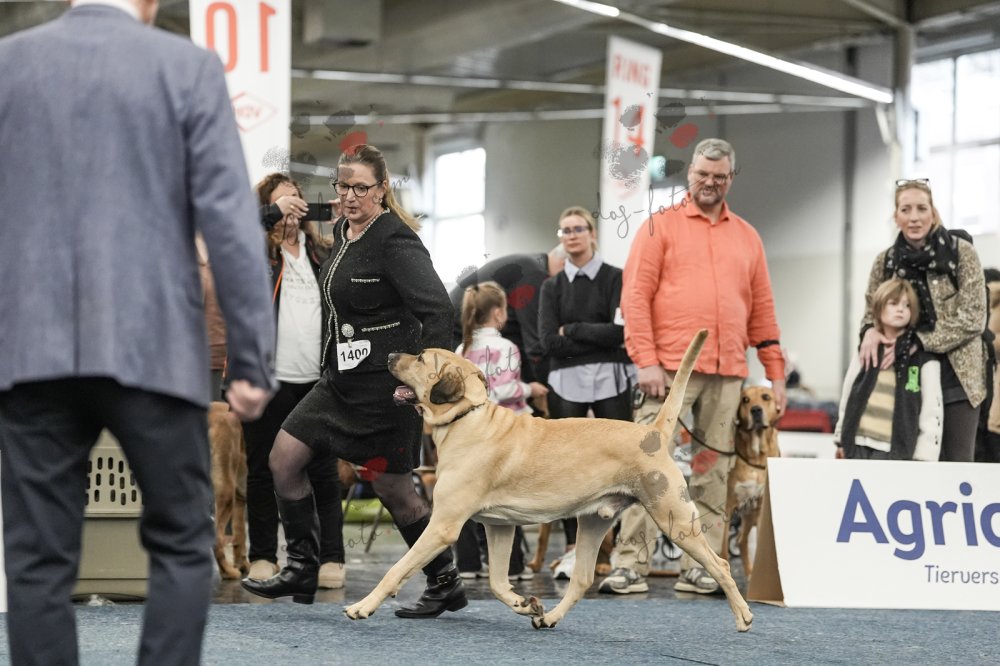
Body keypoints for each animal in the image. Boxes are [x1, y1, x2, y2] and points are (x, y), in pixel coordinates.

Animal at [344, 330, 753, 632]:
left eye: (421, 358)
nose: (389, 353)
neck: (467, 417)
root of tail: (651, 434)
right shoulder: (499, 527)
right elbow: (497, 582)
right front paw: (526, 604)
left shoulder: (443, 526)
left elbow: (397, 569)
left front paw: (362, 606)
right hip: (593, 522)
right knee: (583, 578)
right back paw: (550, 617)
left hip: (676, 520)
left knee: (721, 565)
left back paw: (744, 616)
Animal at [722, 386, 781, 578]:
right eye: (745, 400)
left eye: (766, 397)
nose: (756, 410)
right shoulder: (727, 507)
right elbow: (722, 549)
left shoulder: (762, 509)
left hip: (751, 513)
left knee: (741, 540)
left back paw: (749, 574)